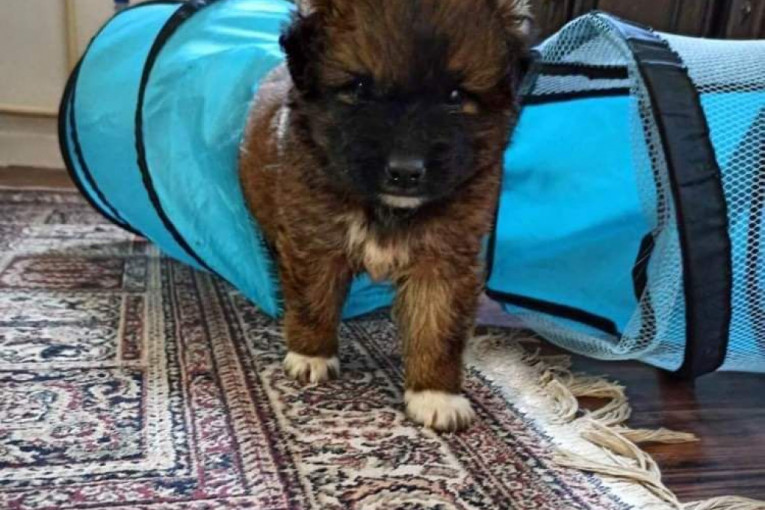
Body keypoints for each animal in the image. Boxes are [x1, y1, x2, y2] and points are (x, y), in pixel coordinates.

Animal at [239, 0, 531, 431]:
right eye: (360, 88)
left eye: (455, 95)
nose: (406, 172)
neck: (388, 208)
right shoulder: (313, 234)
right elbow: (313, 298)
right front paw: (311, 354)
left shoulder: (445, 256)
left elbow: (438, 325)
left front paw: (435, 394)